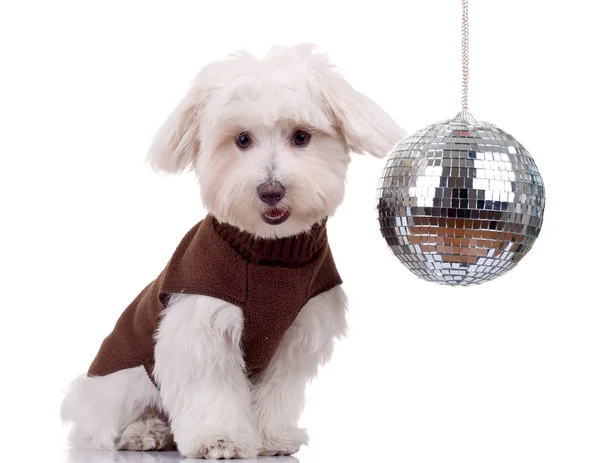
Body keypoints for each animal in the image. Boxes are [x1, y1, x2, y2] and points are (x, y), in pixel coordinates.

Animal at [61, 44, 406, 460]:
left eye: (301, 136)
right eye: (242, 140)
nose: (271, 190)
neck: (270, 250)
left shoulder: (296, 334)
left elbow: (278, 391)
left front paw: (272, 439)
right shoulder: (201, 325)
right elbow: (212, 388)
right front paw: (219, 439)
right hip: (125, 379)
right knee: (107, 424)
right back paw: (143, 433)